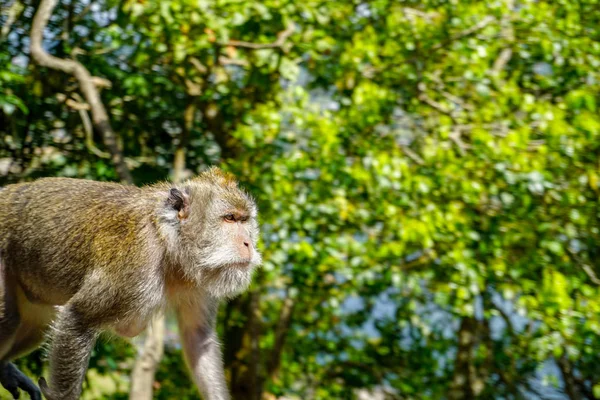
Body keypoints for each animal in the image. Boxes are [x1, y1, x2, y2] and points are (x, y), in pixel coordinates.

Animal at [0, 167, 262, 398]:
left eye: (245, 220)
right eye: (229, 218)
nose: (249, 243)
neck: (169, 242)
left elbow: (197, 339)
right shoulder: (135, 262)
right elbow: (77, 318)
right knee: (9, 319)